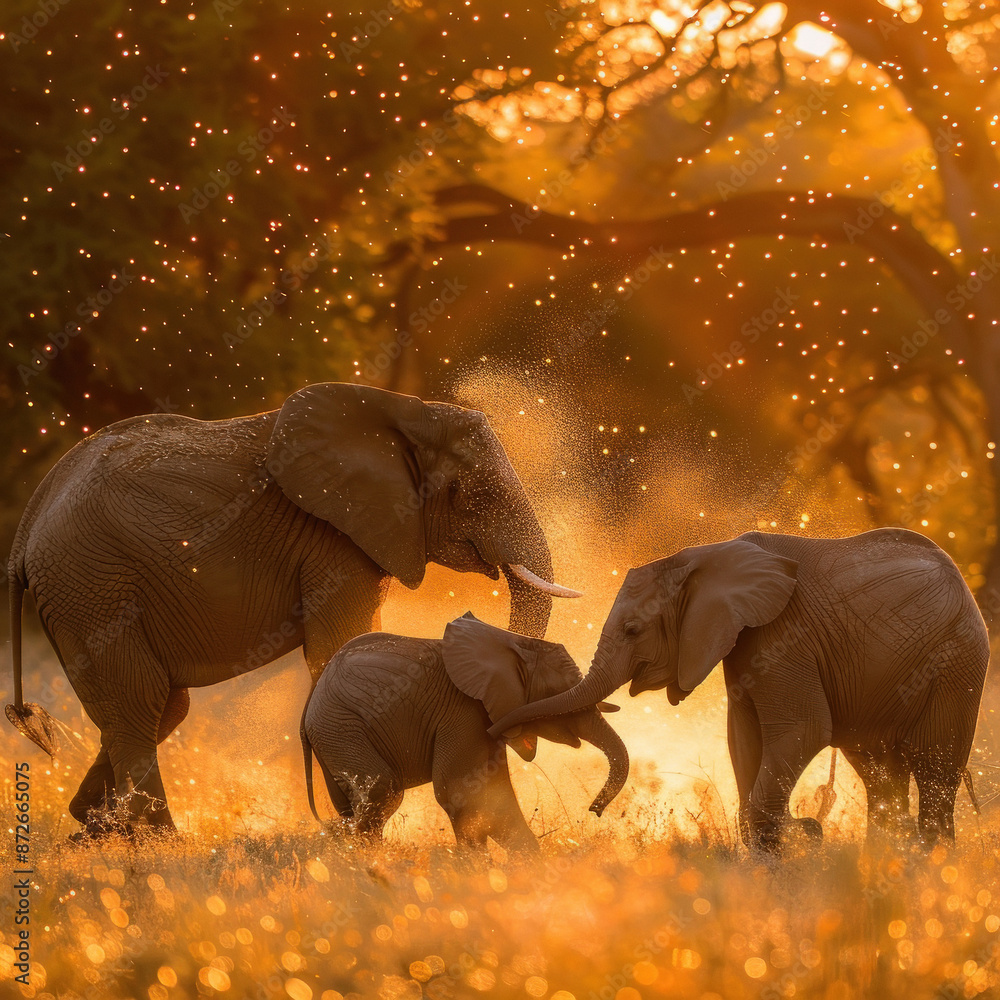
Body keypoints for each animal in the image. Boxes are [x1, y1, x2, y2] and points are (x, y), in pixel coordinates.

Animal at [6, 382, 580, 835]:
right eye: (470, 494)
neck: (407, 411)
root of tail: (25, 530)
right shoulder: (333, 540)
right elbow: (336, 644)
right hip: (91, 587)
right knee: (138, 704)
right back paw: (159, 842)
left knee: (157, 707)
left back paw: (94, 828)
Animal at [300, 612, 628, 849]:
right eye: (561, 692)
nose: (594, 810)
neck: (515, 643)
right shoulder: (463, 711)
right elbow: (462, 793)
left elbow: (498, 795)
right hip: (341, 727)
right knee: (383, 792)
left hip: (333, 735)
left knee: (352, 808)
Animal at [487, 528, 990, 851]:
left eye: (632, 630)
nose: (592, 812)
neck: (702, 557)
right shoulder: (742, 642)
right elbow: (743, 738)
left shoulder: (784, 636)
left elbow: (803, 731)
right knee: (881, 777)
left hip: (957, 666)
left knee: (934, 774)